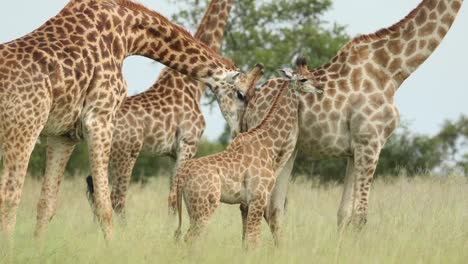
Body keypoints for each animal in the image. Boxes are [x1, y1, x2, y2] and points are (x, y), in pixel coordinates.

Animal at [0, 0, 256, 240]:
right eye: (241, 95)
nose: (240, 132)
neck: (128, 33)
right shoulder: (102, 120)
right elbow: (110, 204)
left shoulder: (63, 135)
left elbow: (47, 203)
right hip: (28, 131)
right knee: (11, 196)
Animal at [168, 71, 322, 248]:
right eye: (304, 79)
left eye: (310, 74)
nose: (320, 87)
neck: (269, 145)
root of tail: (182, 175)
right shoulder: (258, 197)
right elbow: (254, 240)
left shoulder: (249, 202)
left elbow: (248, 239)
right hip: (206, 205)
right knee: (191, 237)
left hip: (190, 206)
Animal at [241, 0, 464, 239]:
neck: (392, 71)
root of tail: (251, 104)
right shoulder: (370, 142)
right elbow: (360, 217)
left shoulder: (354, 150)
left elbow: (344, 213)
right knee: (255, 202)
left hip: (290, 149)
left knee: (273, 207)